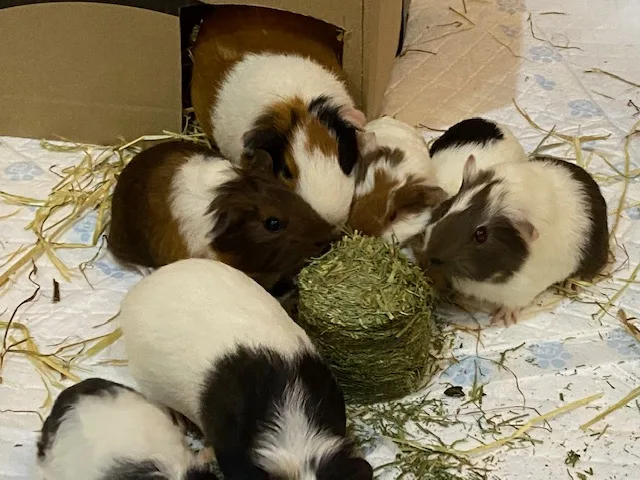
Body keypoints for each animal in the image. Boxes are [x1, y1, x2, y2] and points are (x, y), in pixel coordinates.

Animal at [409, 154, 609, 325]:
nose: (430, 257)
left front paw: (500, 319)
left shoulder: (521, 291)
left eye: (481, 234)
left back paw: (572, 284)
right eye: (446, 210)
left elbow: (512, 305)